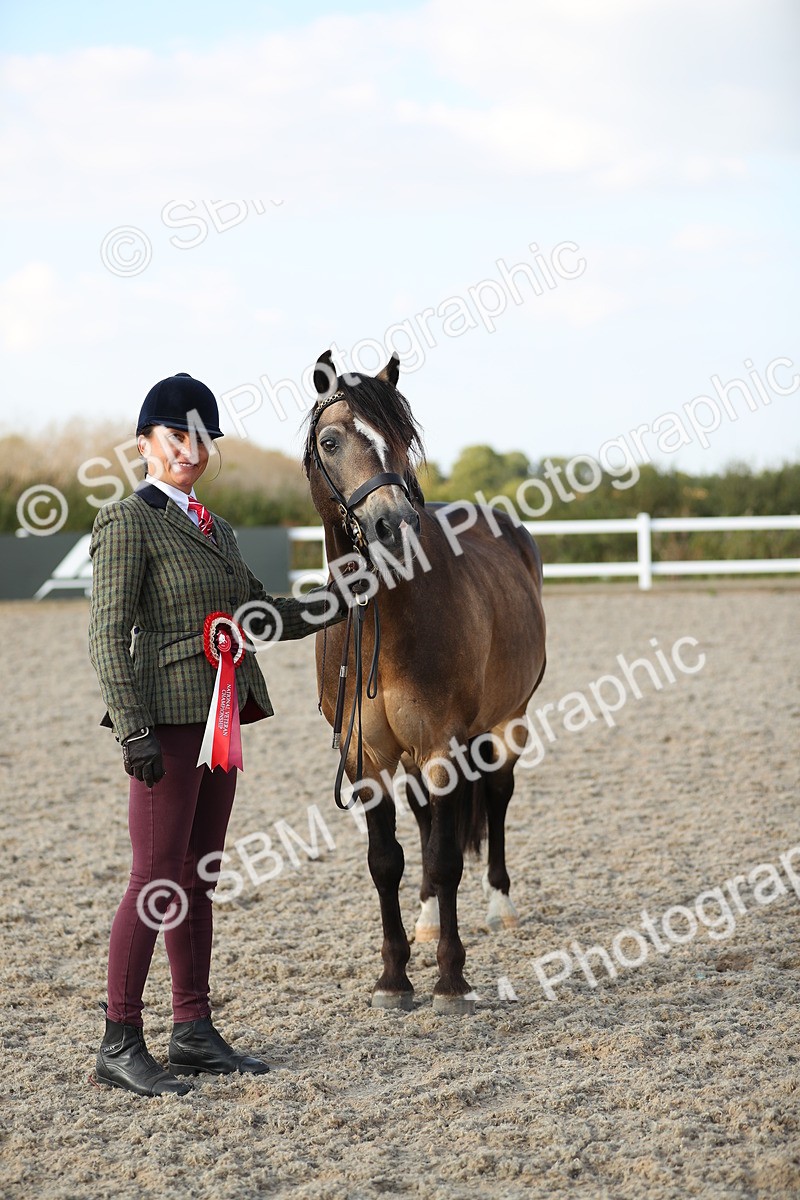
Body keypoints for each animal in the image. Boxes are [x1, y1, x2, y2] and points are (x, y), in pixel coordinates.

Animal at [303, 350, 546, 1014]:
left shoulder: (443, 745)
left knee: (496, 799)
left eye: (402, 439)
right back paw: (429, 920)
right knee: (424, 821)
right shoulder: (365, 756)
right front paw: (393, 976)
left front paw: (451, 980)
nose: (394, 525)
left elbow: (443, 858)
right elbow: (387, 860)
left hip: (506, 723)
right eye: (331, 440)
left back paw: (499, 907)